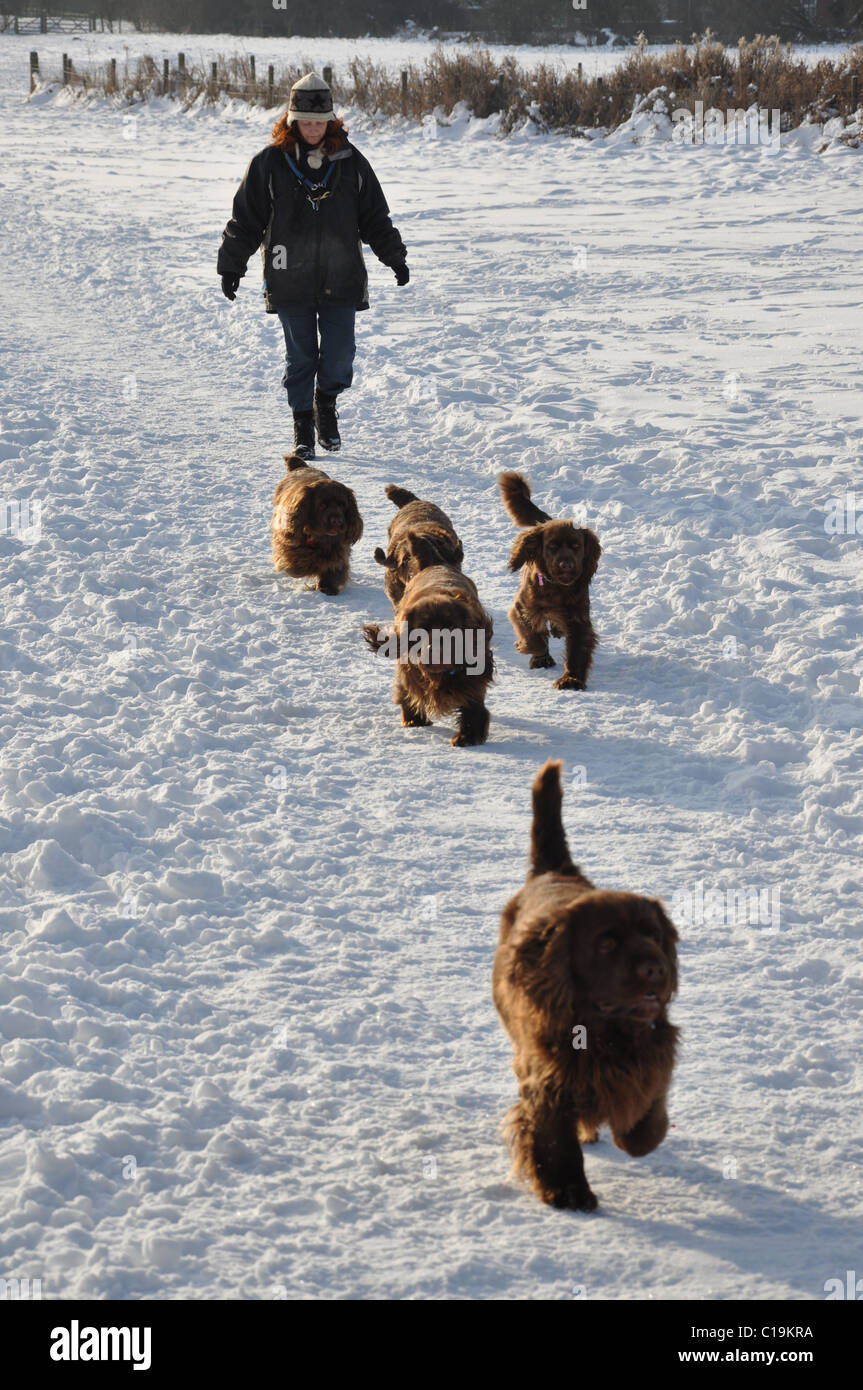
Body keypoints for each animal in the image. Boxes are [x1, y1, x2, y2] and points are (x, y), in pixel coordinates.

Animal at [270, 450, 361, 592]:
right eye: (322, 505)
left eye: (342, 504)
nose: (337, 521)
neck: (319, 537)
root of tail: (301, 466)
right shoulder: (289, 541)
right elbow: (294, 565)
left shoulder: (339, 550)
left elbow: (334, 568)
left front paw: (327, 587)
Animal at [361, 542, 491, 745]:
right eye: (422, 629)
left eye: (451, 627)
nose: (435, 651)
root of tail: (434, 563)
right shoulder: (408, 668)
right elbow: (406, 690)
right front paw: (414, 719)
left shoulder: (474, 675)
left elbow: (473, 702)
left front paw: (469, 735)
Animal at [491, 767, 680, 1212]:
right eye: (606, 943)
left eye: (653, 935)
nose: (656, 968)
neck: (605, 1030)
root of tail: (553, 871)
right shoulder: (546, 1075)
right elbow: (553, 1139)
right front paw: (568, 1191)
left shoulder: (655, 1051)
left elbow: (647, 1110)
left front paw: (638, 1134)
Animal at [497, 475, 600, 692]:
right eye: (552, 546)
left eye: (576, 546)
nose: (566, 565)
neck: (557, 589)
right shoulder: (522, 608)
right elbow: (533, 636)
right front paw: (534, 652)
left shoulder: (579, 619)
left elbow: (577, 651)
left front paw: (571, 679)